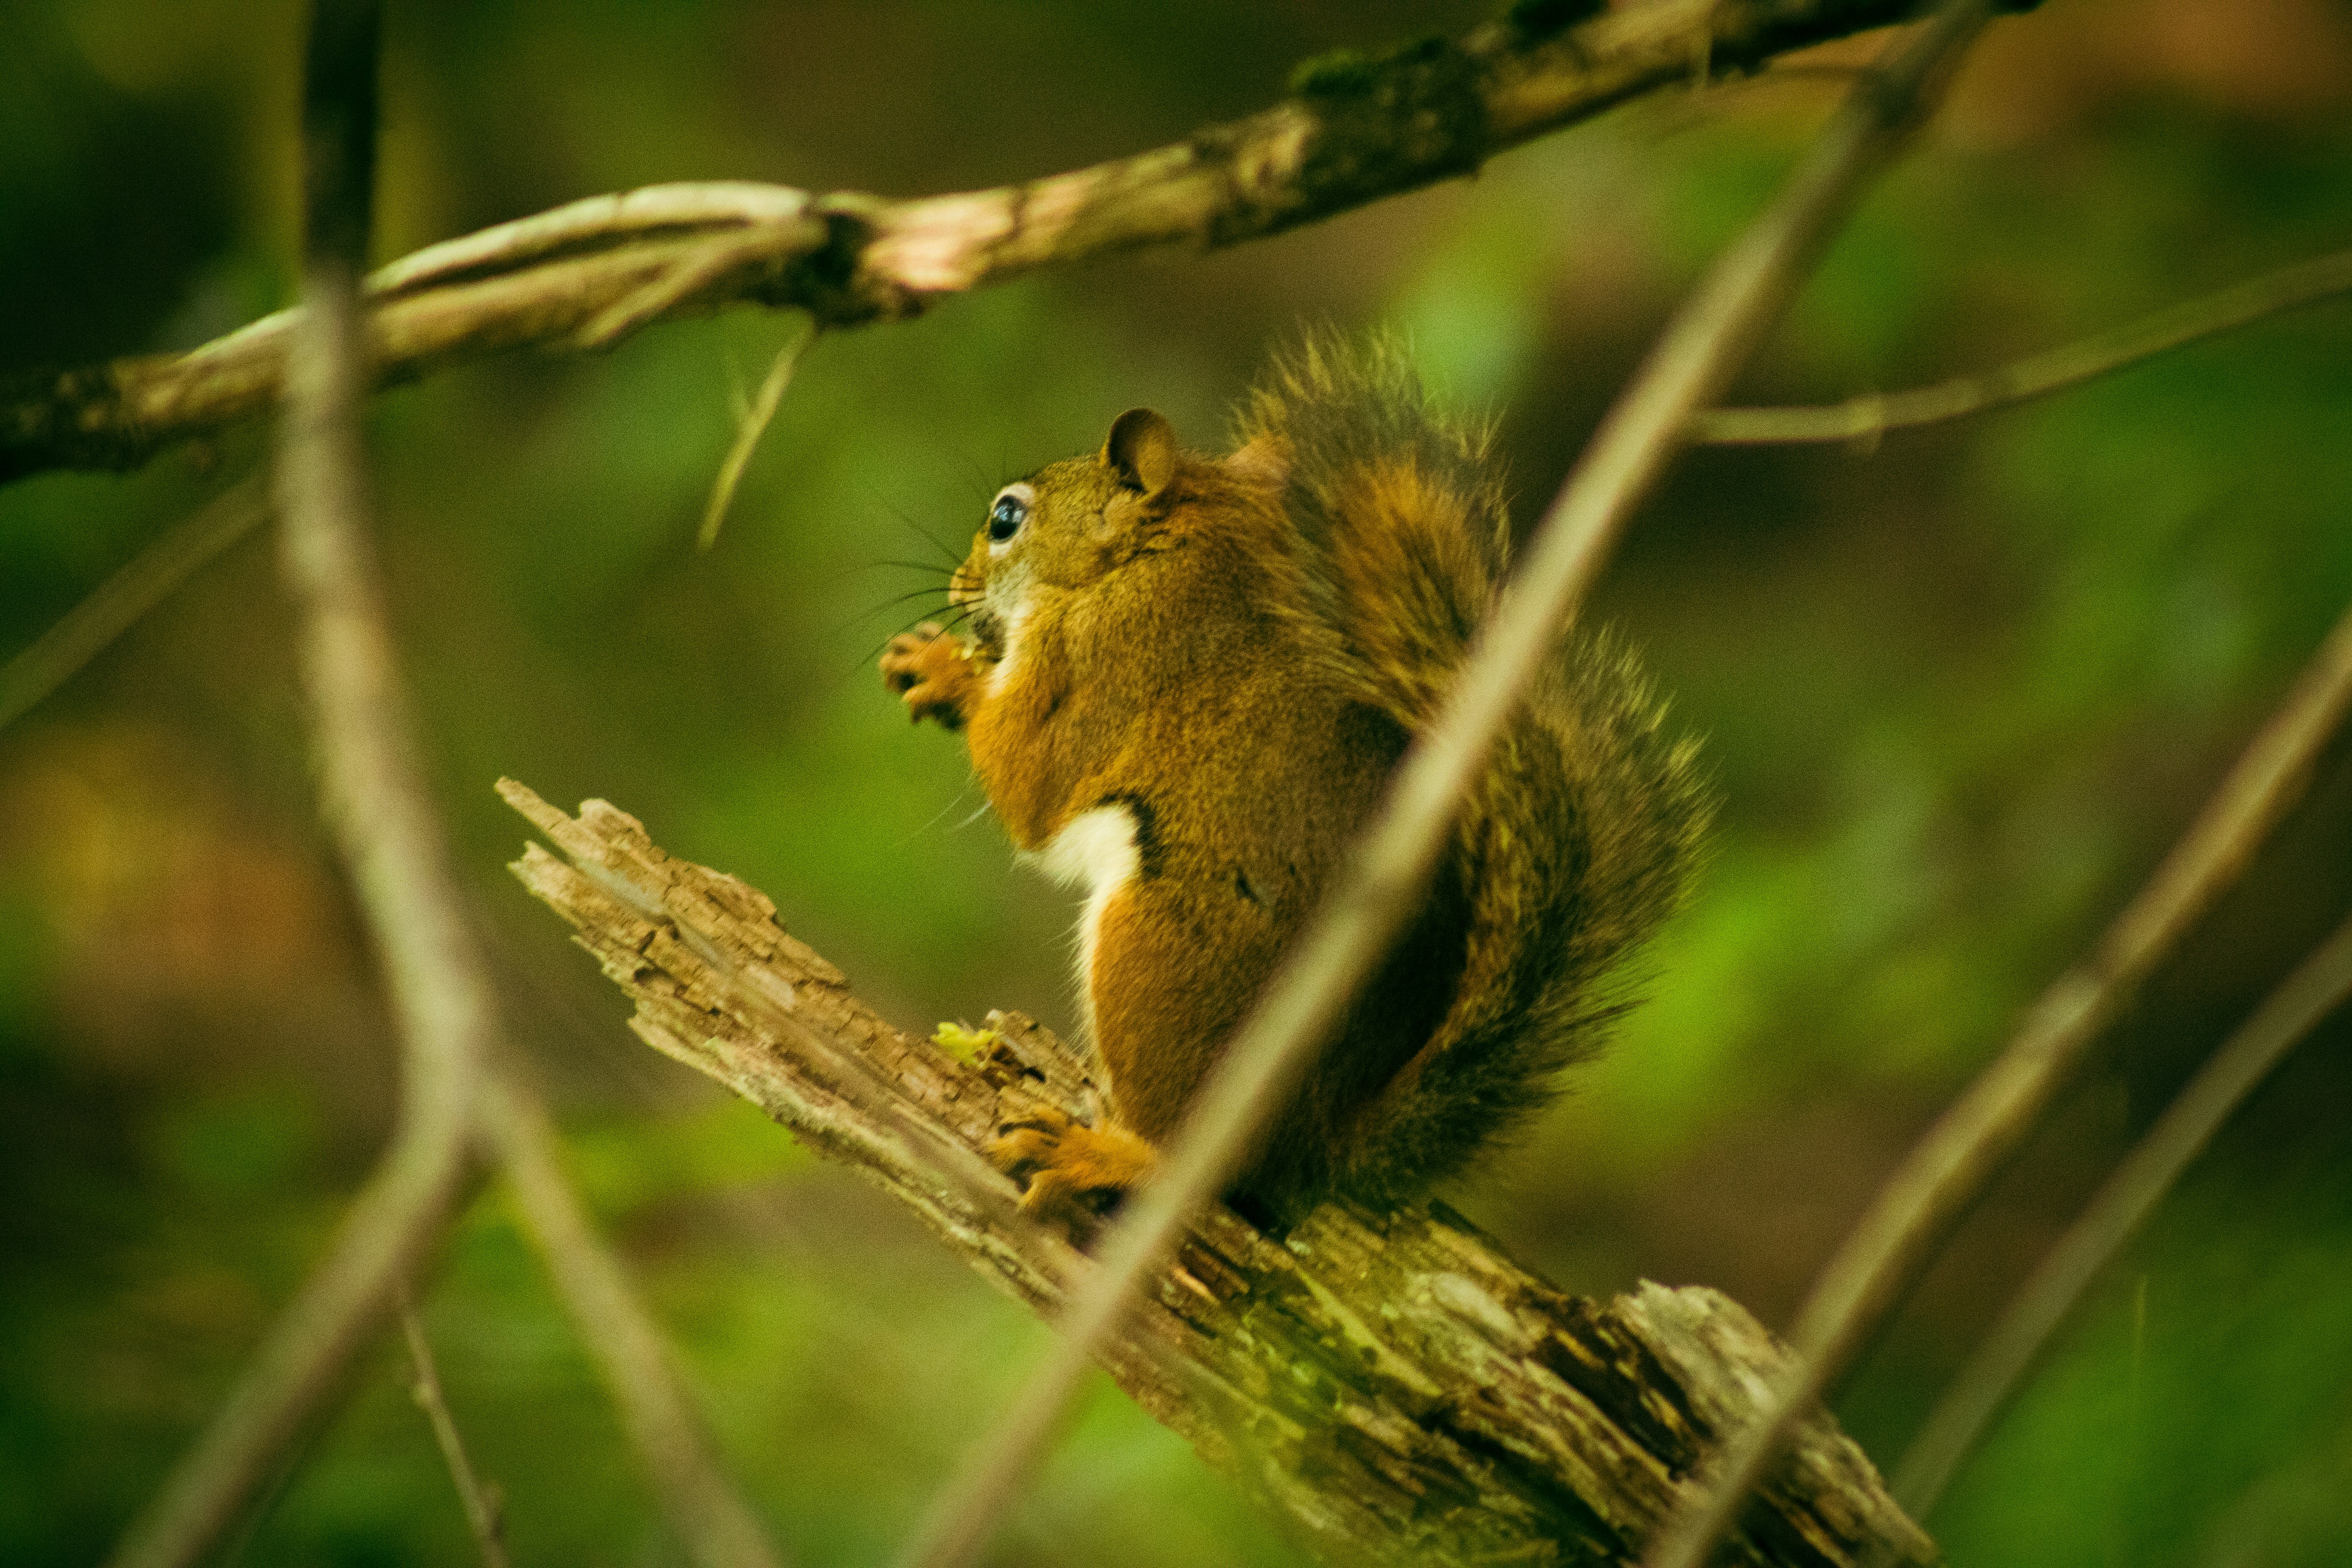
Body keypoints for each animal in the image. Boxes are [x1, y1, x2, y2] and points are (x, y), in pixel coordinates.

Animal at [881, 335, 1710, 1224]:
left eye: (1007, 518)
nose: (957, 586)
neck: (1167, 553)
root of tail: (1313, 1143)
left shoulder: (1096, 661)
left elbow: (1027, 784)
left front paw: (948, 671)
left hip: (1158, 955)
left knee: (1186, 1159)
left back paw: (1101, 1154)